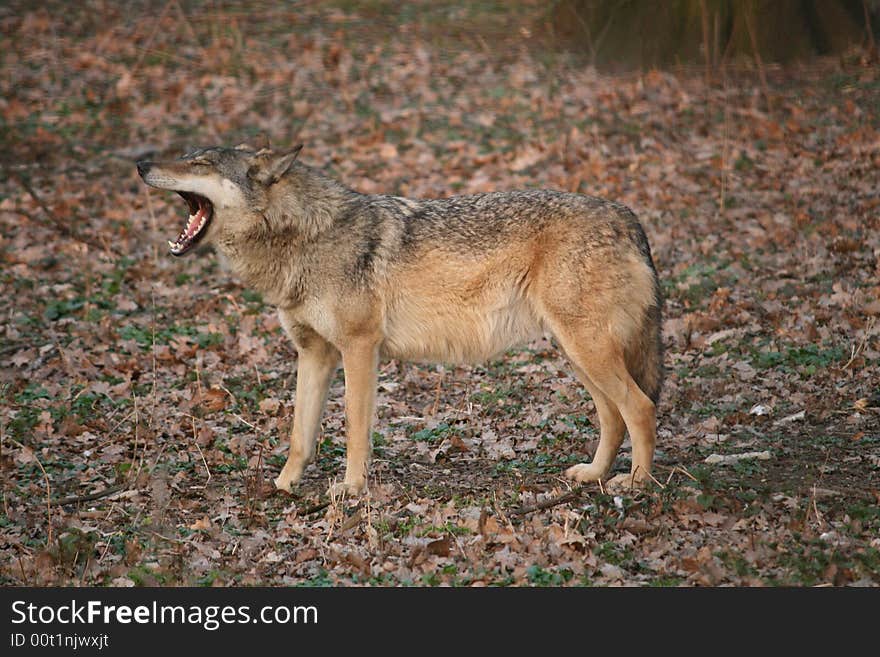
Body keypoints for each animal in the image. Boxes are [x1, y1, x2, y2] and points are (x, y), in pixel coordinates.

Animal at [136, 142, 660, 492]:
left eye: (200, 163)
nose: (140, 163)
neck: (305, 236)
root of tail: (627, 215)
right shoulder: (314, 354)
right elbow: (300, 434)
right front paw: (284, 486)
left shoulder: (359, 348)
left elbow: (353, 428)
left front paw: (351, 491)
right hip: (578, 354)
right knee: (614, 416)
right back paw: (594, 474)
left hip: (586, 351)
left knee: (640, 408)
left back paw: (635, 485)